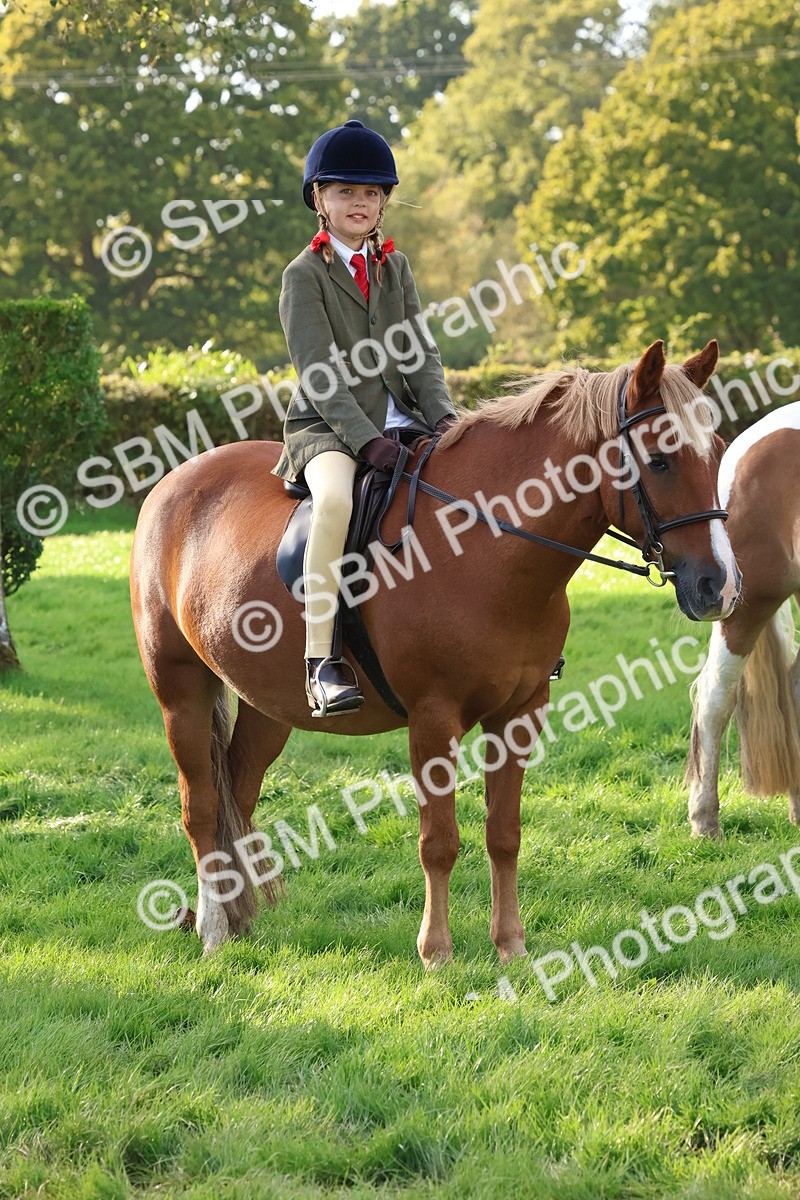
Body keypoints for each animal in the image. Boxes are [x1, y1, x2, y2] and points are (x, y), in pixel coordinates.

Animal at [130, 338, 739, 966]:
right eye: (660, 460)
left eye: (718, 451)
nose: (718, 586)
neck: (486, 547)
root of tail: (177, 479)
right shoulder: (433, 717)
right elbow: (439, 841)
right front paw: (437, 952)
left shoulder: (521, 713)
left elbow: (504, 833)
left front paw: (510, 946)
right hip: (180, 691)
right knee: (202, 806)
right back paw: (213, 931)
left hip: (269, 706)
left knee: (239, 791)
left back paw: (238, 921)